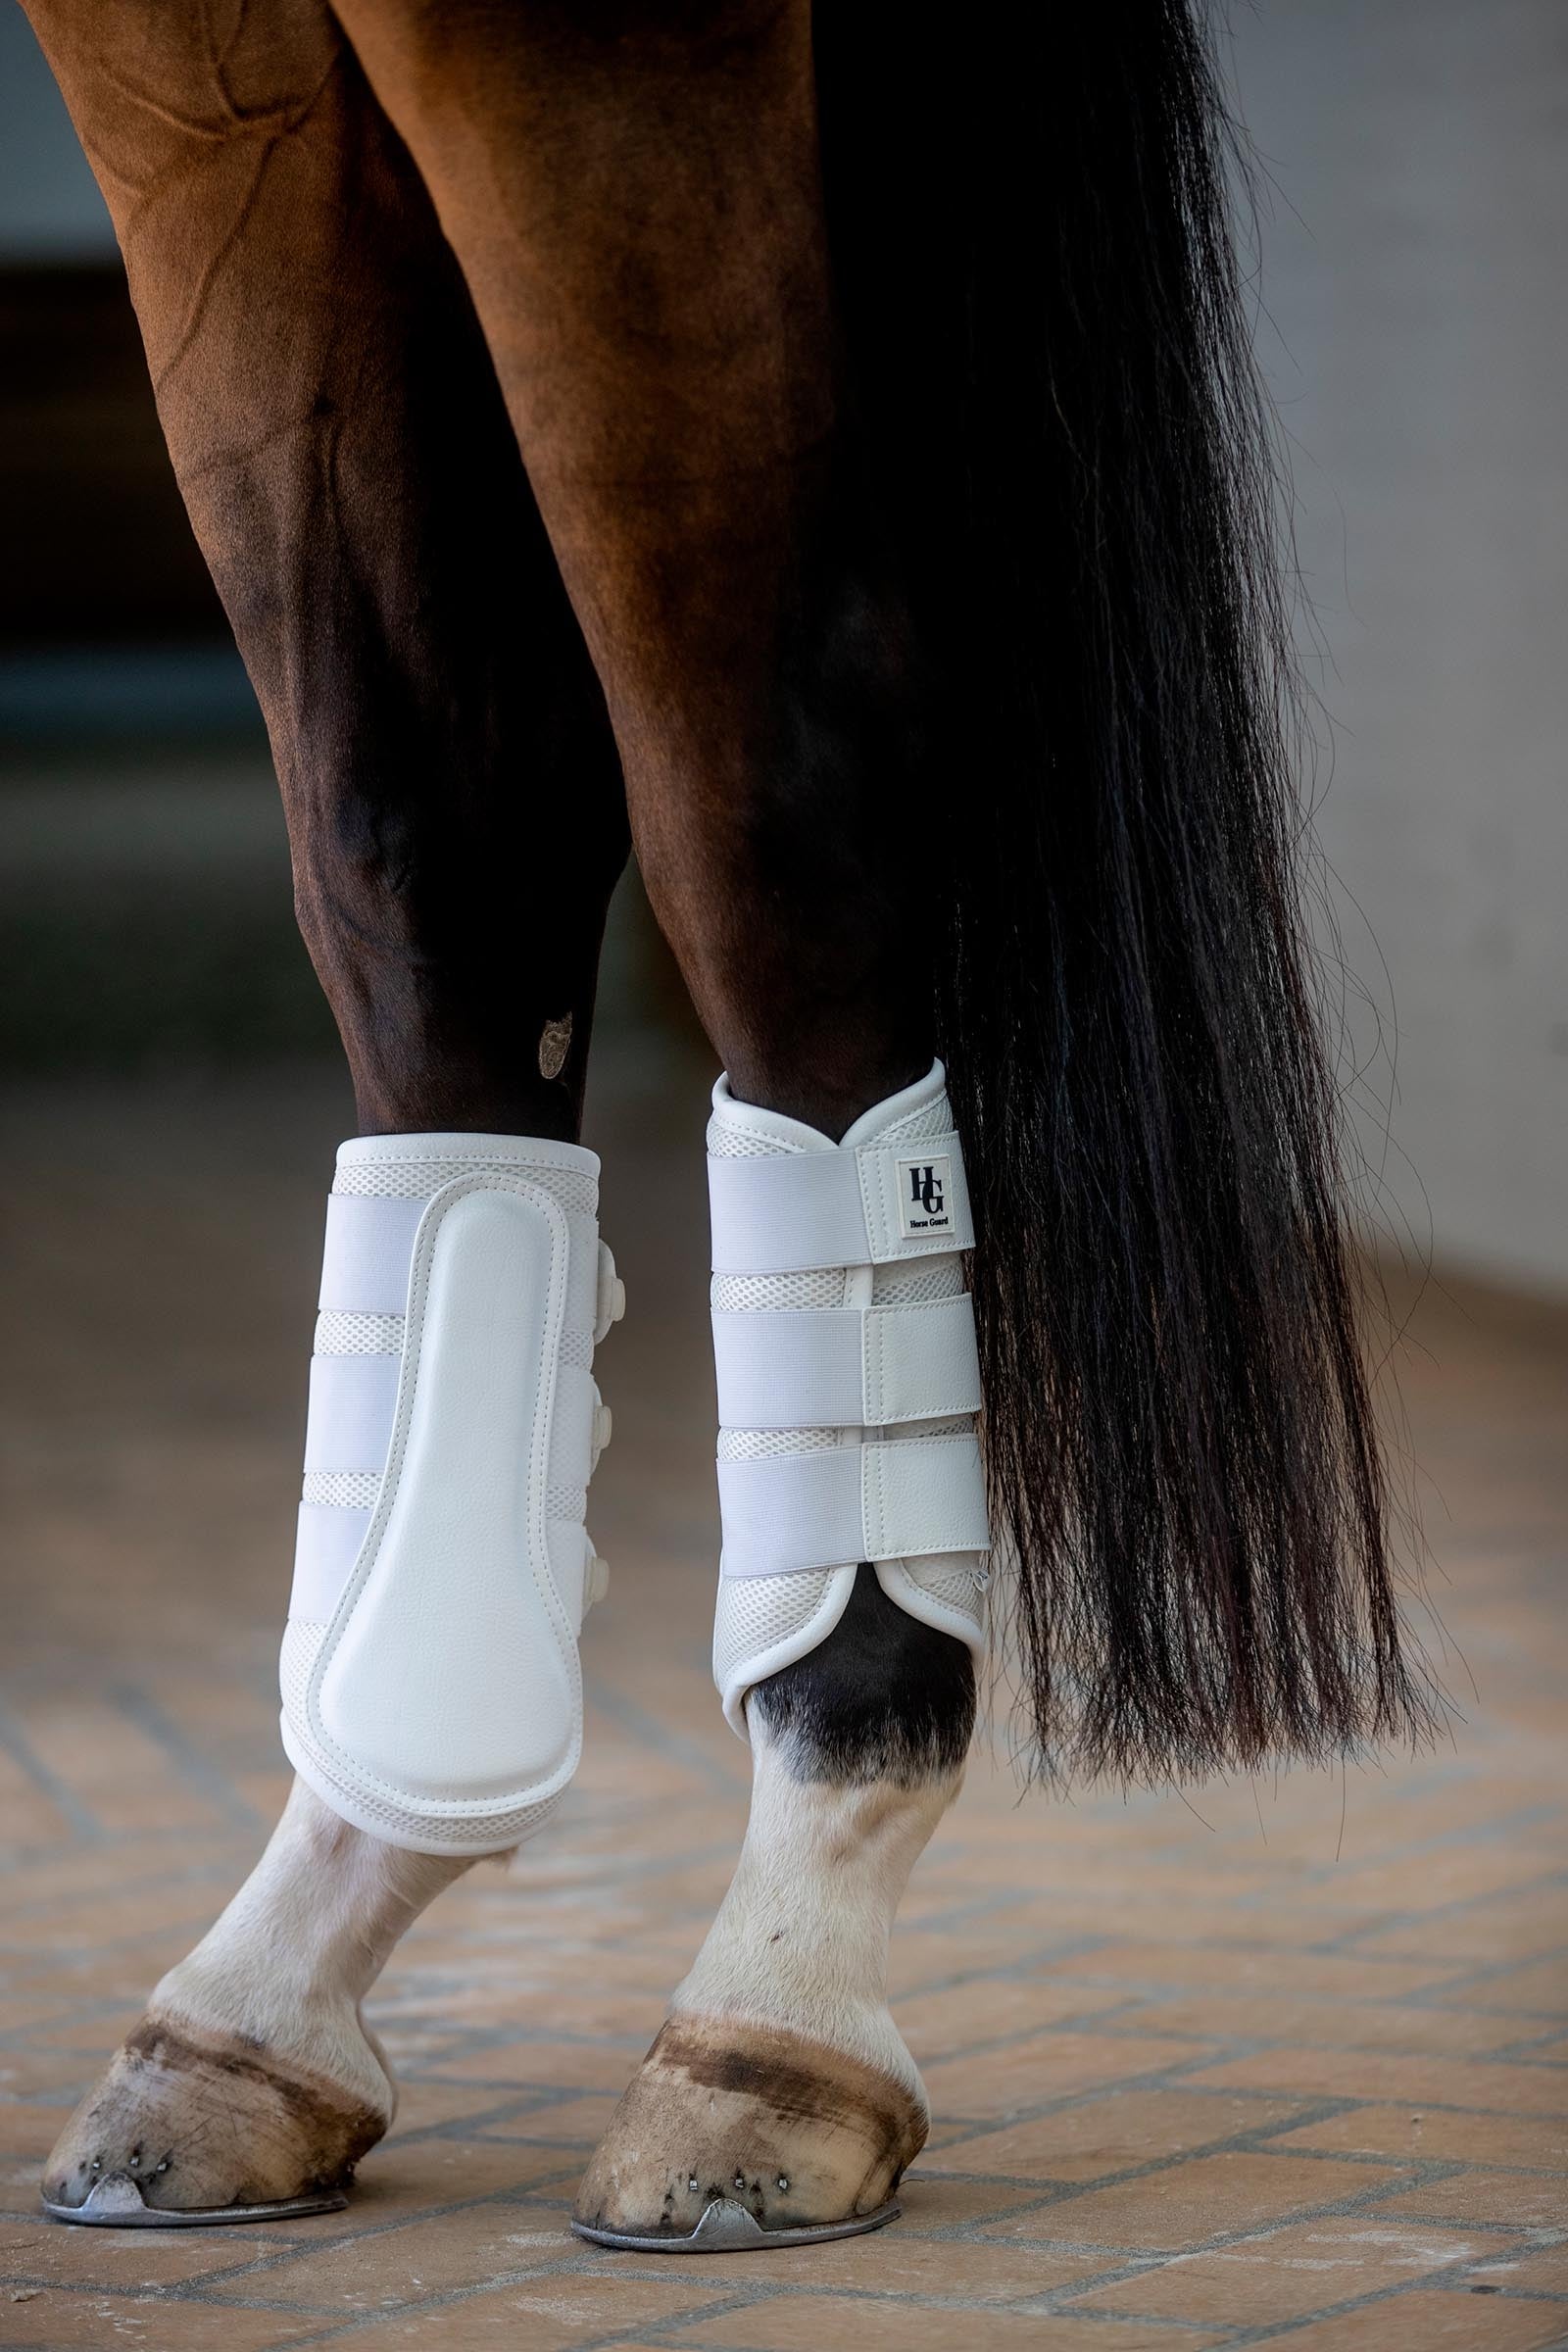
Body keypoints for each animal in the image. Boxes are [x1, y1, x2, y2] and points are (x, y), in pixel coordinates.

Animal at [23, 0, 1433, 2249]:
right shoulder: (202, 93)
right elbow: (425, 834)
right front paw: (264, 1991)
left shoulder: (578, 55)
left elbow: (755, 795)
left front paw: (774, 2017)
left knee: (772, 793)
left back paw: (772, 1999)